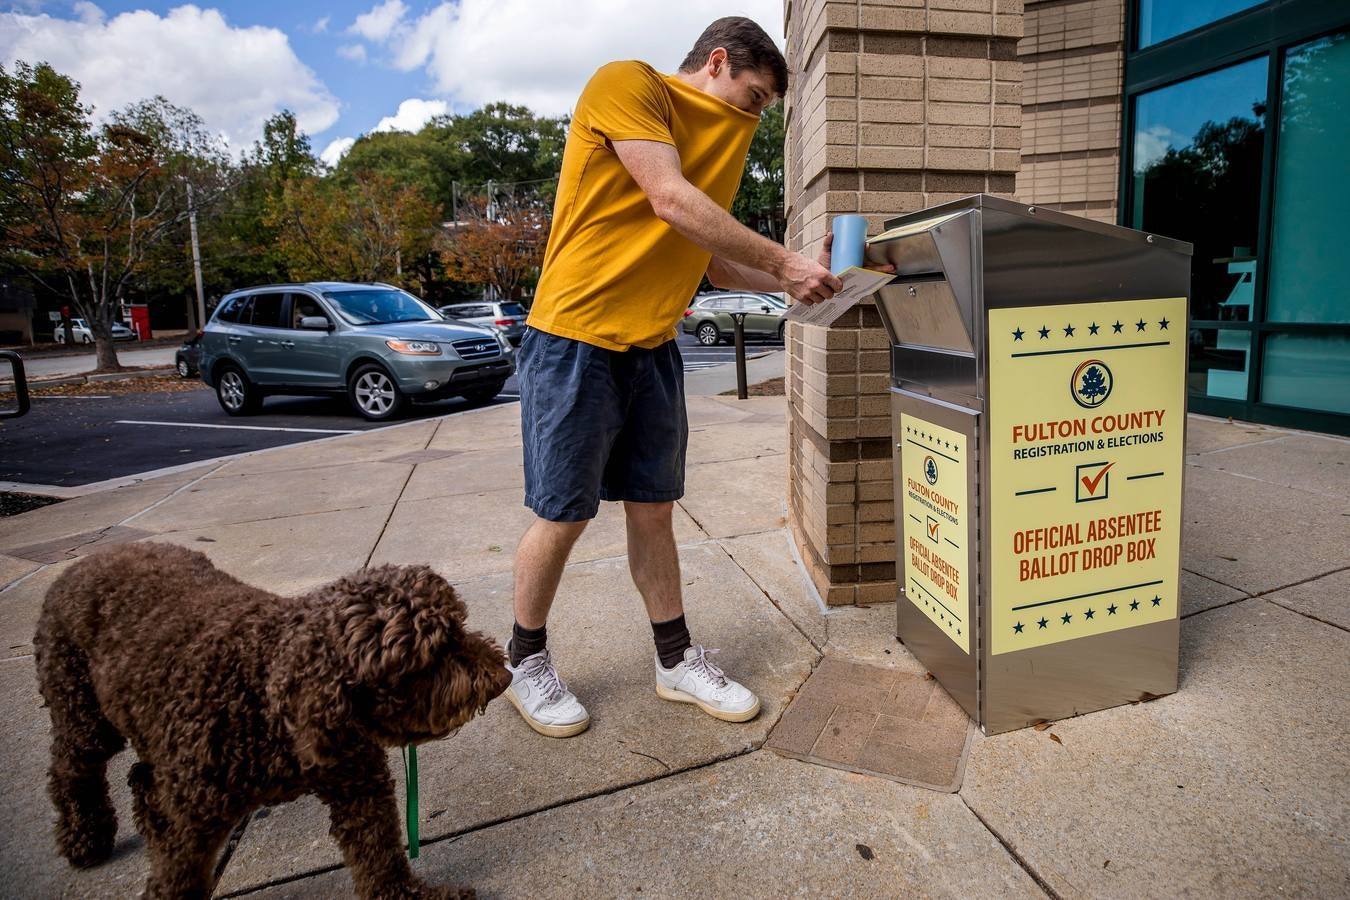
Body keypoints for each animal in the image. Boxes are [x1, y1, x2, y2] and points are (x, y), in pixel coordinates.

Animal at [36, 542, 513, 900]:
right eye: (431, 657)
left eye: (458, 626)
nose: (503, 677)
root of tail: (83, 560)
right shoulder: (192, 822)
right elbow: (177, 876)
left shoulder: (358, 784)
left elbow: (379, 852)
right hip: (83, 711)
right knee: (73, 770)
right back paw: (84, 839)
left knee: (141, 780)